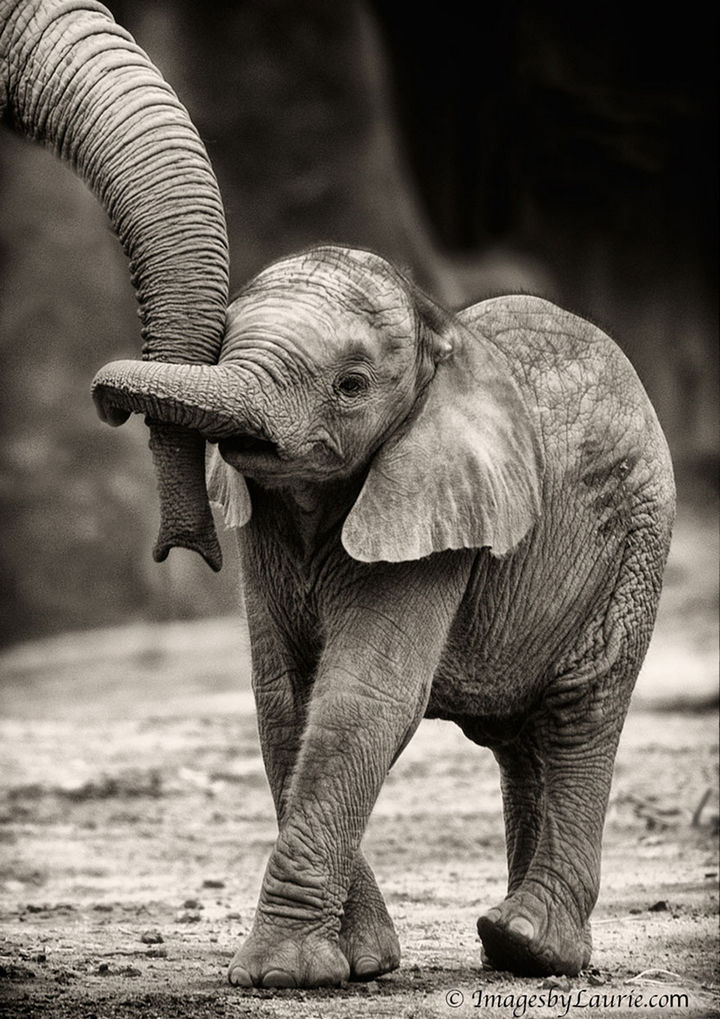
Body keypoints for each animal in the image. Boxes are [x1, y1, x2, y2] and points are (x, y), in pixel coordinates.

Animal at [92, 243, 676, 986]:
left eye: (352, 385)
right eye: (222, 345)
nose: (109, 409)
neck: (437, 338)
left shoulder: (434, 505)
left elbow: (361, 699)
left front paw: (280, 975)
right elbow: (285, 703)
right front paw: (362, 962)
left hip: (634, 544)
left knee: (581, 713)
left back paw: (533, 944)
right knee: (524, 744)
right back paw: (510, 948)